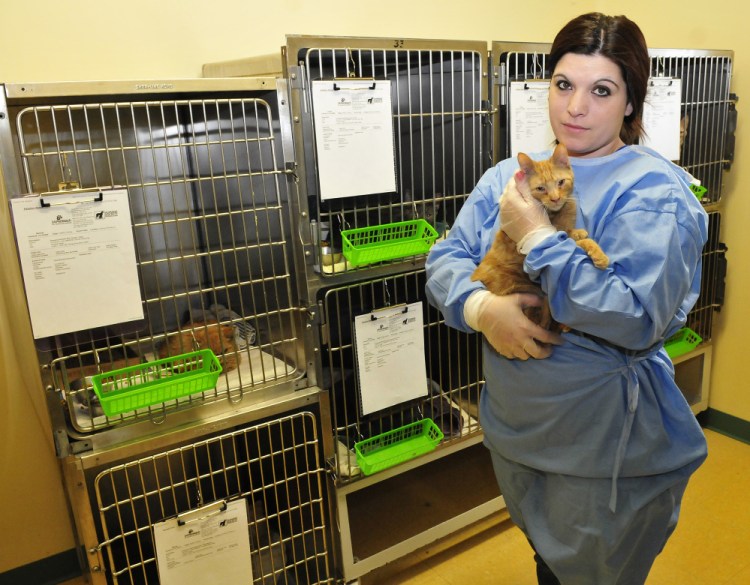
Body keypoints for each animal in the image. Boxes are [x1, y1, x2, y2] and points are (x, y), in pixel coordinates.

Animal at [476, 144, 612, 330]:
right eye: (541, 188)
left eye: (561, 182)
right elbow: (576, 239)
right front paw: (598, 254)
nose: (555, 198)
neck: (557, 214)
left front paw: (580, 235)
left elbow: (571, 234)